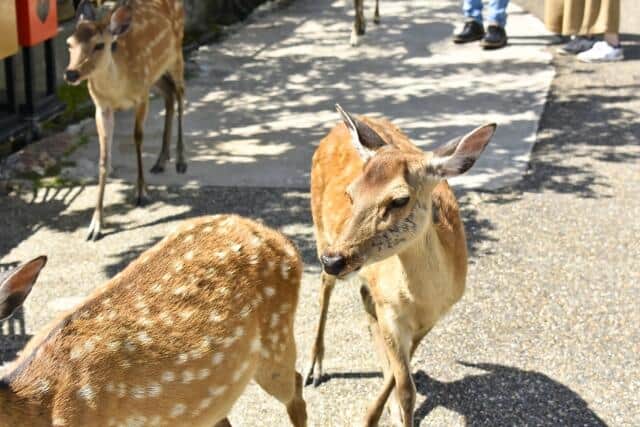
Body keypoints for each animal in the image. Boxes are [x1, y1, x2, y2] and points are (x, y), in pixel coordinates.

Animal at [64, 0, 187, 241]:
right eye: (69, 44)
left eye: (99, 45)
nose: (71, 73)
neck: (118, 88)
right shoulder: (101, 107)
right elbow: (104, 157)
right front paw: (95, 225)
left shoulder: (141, 96)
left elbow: (137, 138)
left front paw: (142, 193)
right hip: (155, 75)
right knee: (169, 94)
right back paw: (160, 160)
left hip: (177, 53)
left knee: (180, 93)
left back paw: (180, 160)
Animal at [305, 105, 496, 426]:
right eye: (351, 194)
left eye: (399, 200)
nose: (334, 259)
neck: (423, 299)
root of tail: (335, 129)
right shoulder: (391, 310)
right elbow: (407, 388)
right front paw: (375, 416)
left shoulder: (432, 317)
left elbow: (401, 377)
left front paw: (383, 409)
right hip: (321, 231)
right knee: (325, 288)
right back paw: (313, 368)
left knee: (363, 299)